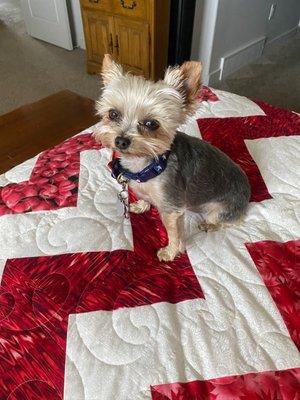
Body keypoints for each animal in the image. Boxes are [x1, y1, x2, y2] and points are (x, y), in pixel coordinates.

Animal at [94, 55, 251, 262]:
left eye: (151, 124)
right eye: (113, 114)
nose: (120, 140)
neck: (146, 166)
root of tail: (248, 190)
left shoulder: (171, 209)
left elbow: (173, 233)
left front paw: (170, 252)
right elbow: (144, 197)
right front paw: (142, 205)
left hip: (221, 210)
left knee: (227, 221)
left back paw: (208, 225)